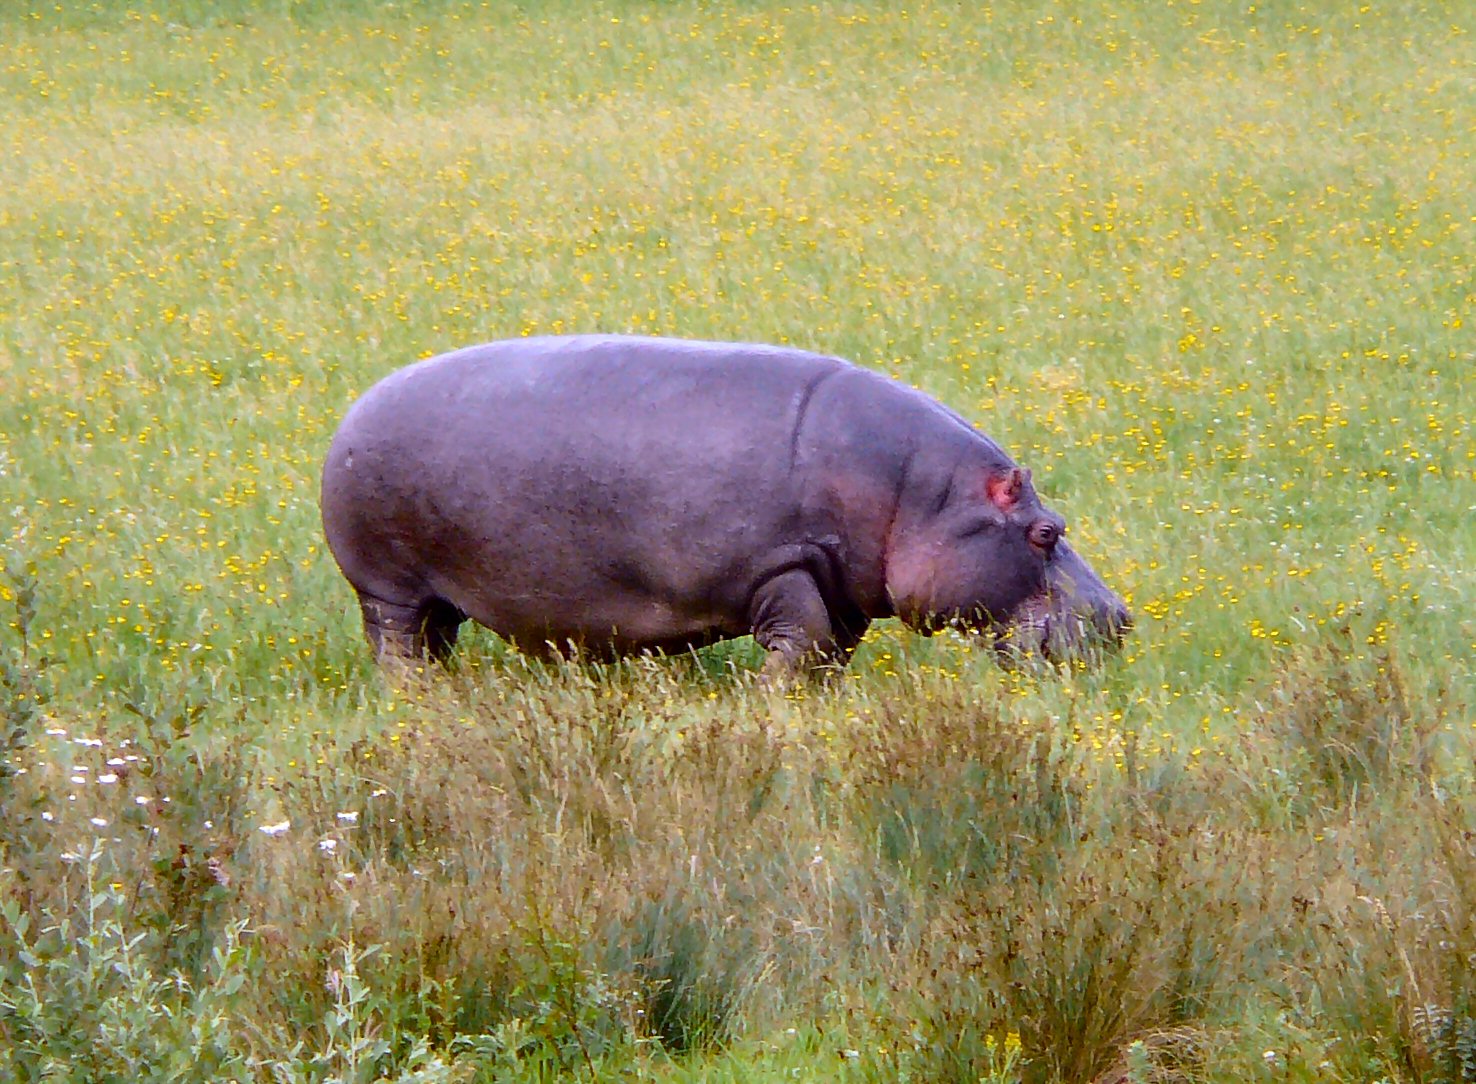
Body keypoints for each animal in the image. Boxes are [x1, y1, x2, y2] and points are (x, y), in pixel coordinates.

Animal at [320, 335, 1130, 676]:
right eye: (1045, 532)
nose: (1121, 618)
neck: (922, 498)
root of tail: (355, 408)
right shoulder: (782, 564)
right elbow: (803, 640)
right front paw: (769, 699)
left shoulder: (842, 586)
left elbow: (829, 652)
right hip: (388, 586)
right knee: (398, 648)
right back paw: (418, 701)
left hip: (429, 593)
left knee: (434, 640)